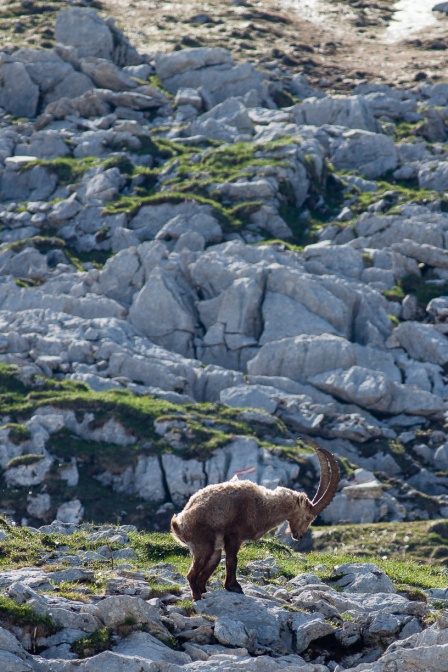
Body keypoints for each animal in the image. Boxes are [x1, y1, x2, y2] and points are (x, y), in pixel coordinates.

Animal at [171, 438, 340, 600]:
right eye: (308, 516)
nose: (299, 536)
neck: (262, 505)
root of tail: (178, 525)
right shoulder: (234, 536)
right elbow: (232, 561)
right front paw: (234, 587)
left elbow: (231, 561)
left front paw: (232, 587)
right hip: (204, 545)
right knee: (191, 576)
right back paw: (197, 598)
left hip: (214, 552)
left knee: (202, 578)